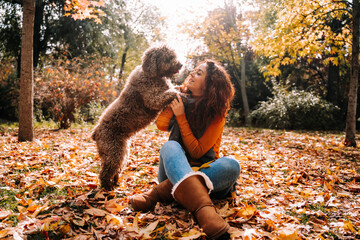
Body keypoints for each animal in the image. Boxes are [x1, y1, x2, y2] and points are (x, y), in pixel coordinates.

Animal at [93, 45, 183, 190]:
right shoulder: (153, 98)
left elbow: (172, 88)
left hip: (122, 152)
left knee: (116, 168)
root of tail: (96, 132)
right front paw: (178, 92)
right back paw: (107, 187)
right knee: (105, 172)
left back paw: (116, 182)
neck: (151, 74)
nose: (181, 64)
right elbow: (169, 93)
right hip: (113, 152)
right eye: (169, 57)